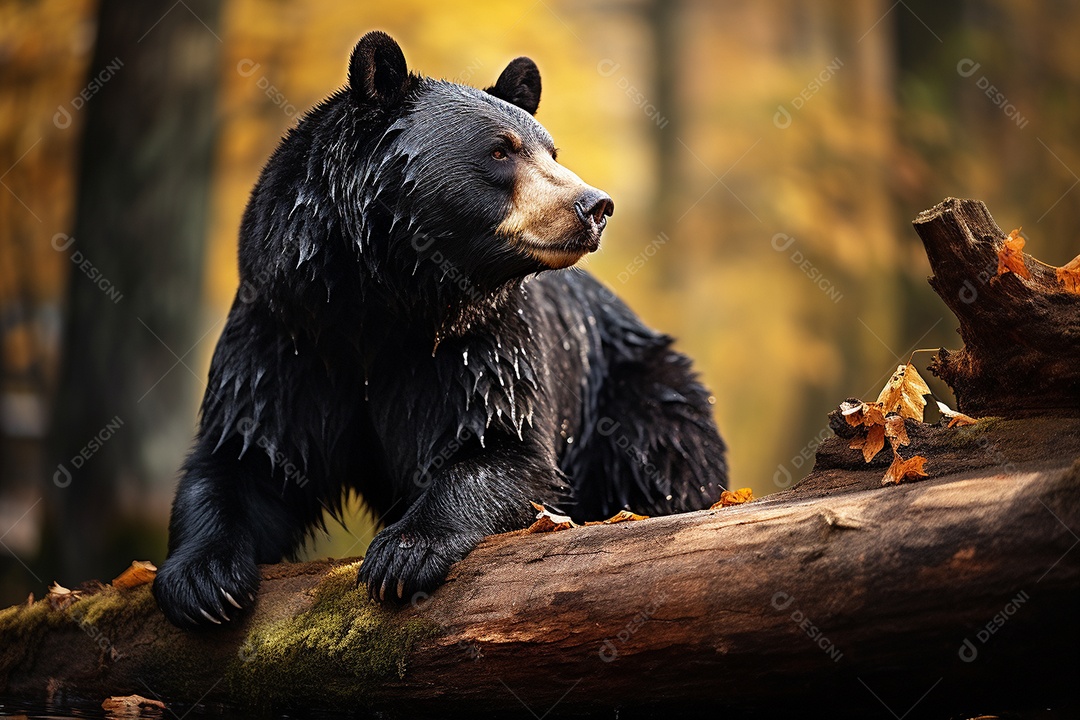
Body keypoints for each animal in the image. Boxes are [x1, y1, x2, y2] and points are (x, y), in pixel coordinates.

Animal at [152, 30, 728, 628]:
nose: (595, 206)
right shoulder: (286, 332)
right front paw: (203, 579)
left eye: (550, 151)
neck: (386, 299)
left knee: (662, 455)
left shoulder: (479, 345)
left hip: (634, 393)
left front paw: (404, 554)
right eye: (500, 150)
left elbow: (499, 446)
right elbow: (247, 452)